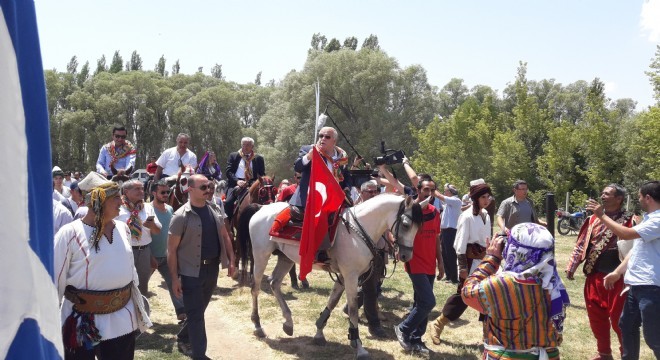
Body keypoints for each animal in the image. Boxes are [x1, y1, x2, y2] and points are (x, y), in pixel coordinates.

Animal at [240, 193, 426, 358]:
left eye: (419, 227)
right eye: (406, 224)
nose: (406, 256)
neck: (358, 230)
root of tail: (262, 207)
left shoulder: (343, 276)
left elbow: (333, 300)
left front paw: (319, 332)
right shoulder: (351, 276)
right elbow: (352, 309)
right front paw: (358, 345)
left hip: (285, 258)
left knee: (274, 283)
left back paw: (288, 323)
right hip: (261, 255)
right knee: (256, 288)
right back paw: (258, 325)